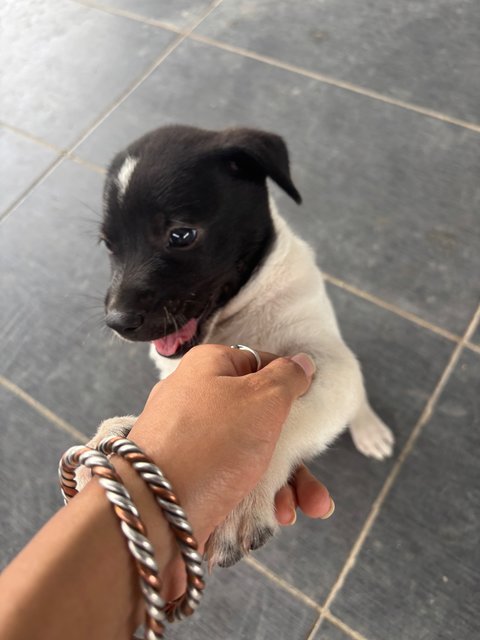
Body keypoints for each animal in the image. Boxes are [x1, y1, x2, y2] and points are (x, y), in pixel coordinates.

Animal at [85, 127, 394, 568]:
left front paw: (239, 495)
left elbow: (289, 413)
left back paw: (369, 429)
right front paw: (119, 433)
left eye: (181, 235)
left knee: (358, 392)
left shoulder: (322, 359)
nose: (117, 322)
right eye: (109, 245)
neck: (237, 317)